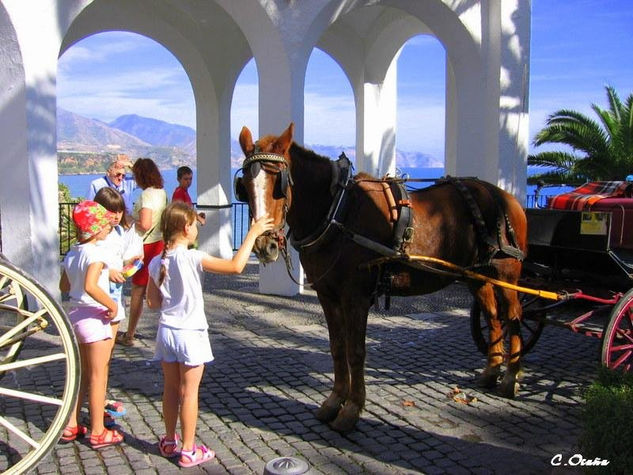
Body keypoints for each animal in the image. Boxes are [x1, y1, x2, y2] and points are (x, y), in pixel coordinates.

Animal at [235, 123, 524, 436]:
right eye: (245, 186)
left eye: (279, 183)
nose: (263, 245)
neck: (338, 211)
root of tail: (503, 196)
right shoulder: (327, 295)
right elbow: (337, 347)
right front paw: (334, 401)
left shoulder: (355, 297)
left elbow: (356, 351)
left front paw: (351, 410)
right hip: (477, 276)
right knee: (493, 317)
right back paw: (491, 372)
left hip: (507, 274)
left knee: (514, 316)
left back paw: (510, 378)